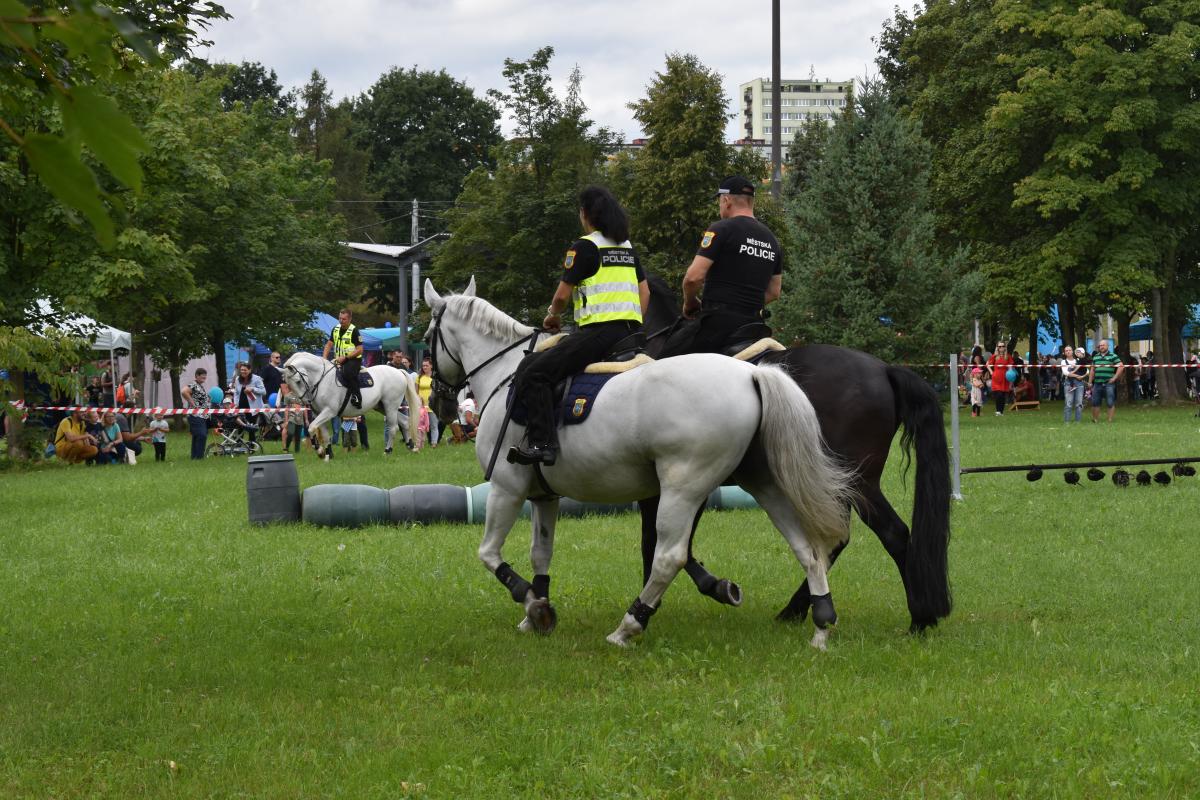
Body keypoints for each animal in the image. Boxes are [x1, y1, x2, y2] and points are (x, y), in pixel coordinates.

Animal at [285, 352, 422, 460]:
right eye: (289, 384)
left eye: (298, 381)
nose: (306, 401)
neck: (322, 380)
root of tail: (398, 371)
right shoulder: (318, 413)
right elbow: (322, 433)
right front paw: (327, 454)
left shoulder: (329, 411)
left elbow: (311, 428)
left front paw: (319, 451)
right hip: (382, 407)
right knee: (405, 422)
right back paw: (411, 446)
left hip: (390, 407)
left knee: (393, 427)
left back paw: (387, 451)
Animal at [427, 281, 859, 652]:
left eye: (429, 335)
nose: (439, 403)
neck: (505, 377)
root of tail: (751, 372)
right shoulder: (543, 497)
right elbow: (540, 554)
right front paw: (537, 613)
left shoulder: (506, 488)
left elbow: (489, 553)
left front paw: (532, 604)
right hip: (764, 484)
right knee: (806, 547)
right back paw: (821, 625)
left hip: (683, 489)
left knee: (670, 556)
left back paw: (629, 625)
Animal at [643, 275, 950, 633]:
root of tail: (885, 370)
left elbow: (663, 544)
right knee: (847, 539)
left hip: (853, 481)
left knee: (887, 534)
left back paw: (917, 619)